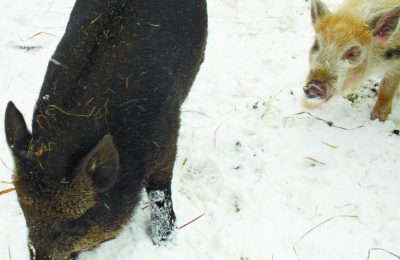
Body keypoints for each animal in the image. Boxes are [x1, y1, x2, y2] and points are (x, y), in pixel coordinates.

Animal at [3, 0, 206, 258]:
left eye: (74, 223)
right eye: (25, 212)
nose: (38, 254)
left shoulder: (167, 135)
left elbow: (160, 192)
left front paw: (165, 245)